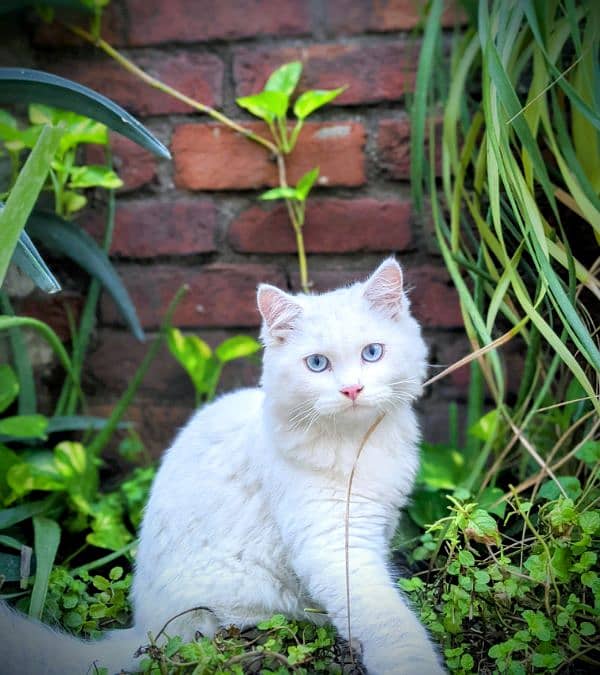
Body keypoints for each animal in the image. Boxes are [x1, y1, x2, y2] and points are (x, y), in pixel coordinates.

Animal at [0, 260, 440, 675]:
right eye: (317, 364)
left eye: (372, 353)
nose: (352, 389)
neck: (358, 442)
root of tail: (144, 628)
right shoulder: (334, 544)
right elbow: (391, 626)